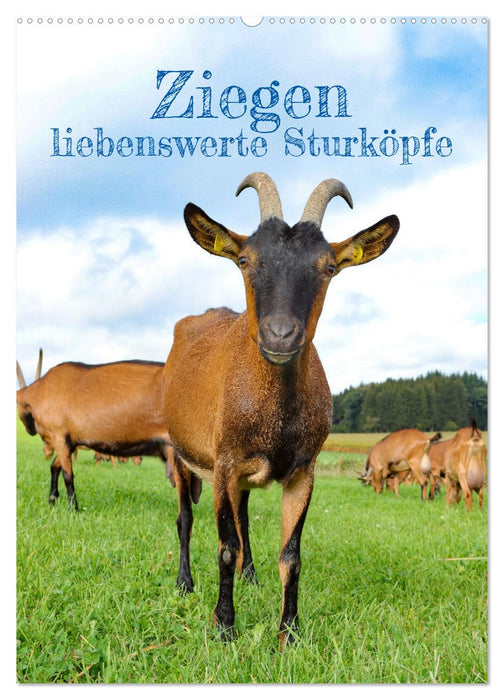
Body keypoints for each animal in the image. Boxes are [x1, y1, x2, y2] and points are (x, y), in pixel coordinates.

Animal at [16, 354, 200, 509]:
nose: (29, 429)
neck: (41, 391)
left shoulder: (59, 435)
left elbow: (68, 475)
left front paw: (73, 509)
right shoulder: (69, 441)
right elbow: (55, 467)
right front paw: (52, 500)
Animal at [162, 172, 399, 644]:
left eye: (328, 267)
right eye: (245, 260)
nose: (280, 335)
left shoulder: (303, 471)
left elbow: (291, 554)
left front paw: (288, 633)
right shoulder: (224, 462)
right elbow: (225, 546)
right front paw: (224, 627)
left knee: (244, 518)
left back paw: (251, 577)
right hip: (180, 453)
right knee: (185, 518)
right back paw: (184, 584)